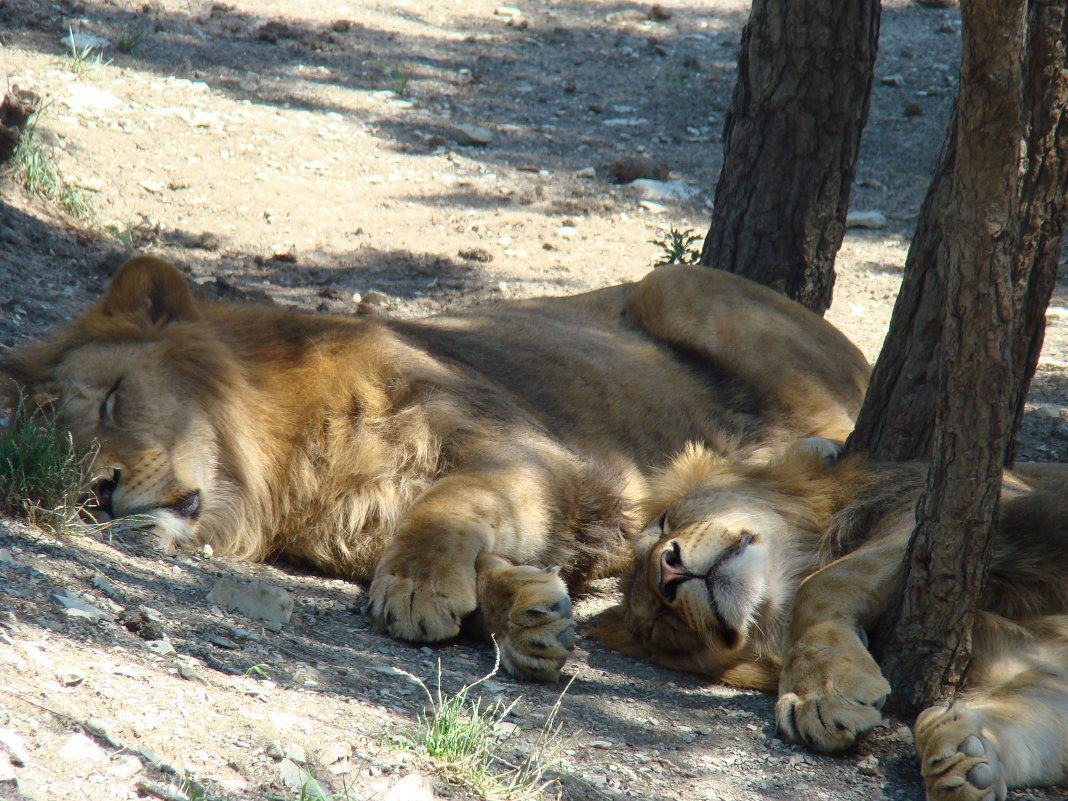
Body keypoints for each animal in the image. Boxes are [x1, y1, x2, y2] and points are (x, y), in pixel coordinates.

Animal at [0, 258, 867, 683]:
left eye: (113, 397)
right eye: (62, 458)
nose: (98, 492)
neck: (288, 464)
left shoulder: (516, 447)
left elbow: (452, 503)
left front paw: (418, 589)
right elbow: (490, 554)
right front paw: (525, 616)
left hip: (673, 284)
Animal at [598, 440, 1068, 801]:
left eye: (665, 522)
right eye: (661, 623)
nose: (667, 574)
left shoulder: (950, 503)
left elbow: (824, 581)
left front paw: (822, 695)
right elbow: (1035, 716)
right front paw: (966, 756)